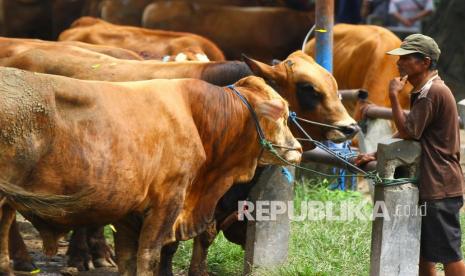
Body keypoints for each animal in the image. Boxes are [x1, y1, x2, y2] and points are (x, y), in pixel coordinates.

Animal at [0, 66, 300, 274]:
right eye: (284, 116)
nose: (298, 148)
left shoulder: (127, 211)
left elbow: (128, 259)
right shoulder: (167, 202)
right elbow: (150, 256)